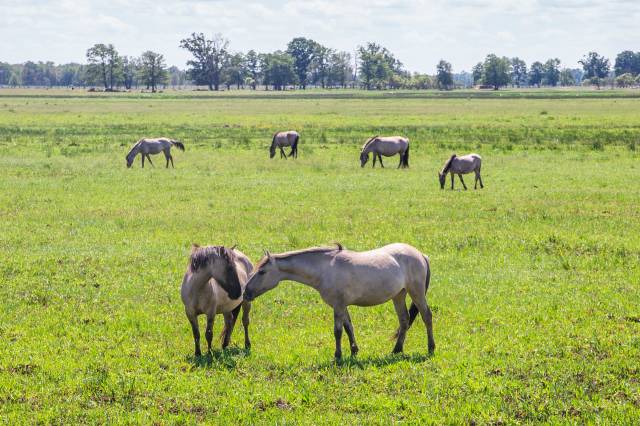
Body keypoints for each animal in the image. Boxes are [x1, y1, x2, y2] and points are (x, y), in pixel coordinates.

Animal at [244, 243, 434, 360]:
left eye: (262, 272)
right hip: (399, 295)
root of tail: (421, 254)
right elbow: (348, 327)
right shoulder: (342, 306)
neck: (325, 269)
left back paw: (431, 348)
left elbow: (338, 331)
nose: (245, 292)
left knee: (427, 316)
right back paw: (396, 350)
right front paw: (354, 350)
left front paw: (338, 355)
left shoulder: (338, 305)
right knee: (404, 320)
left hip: (416, 292)